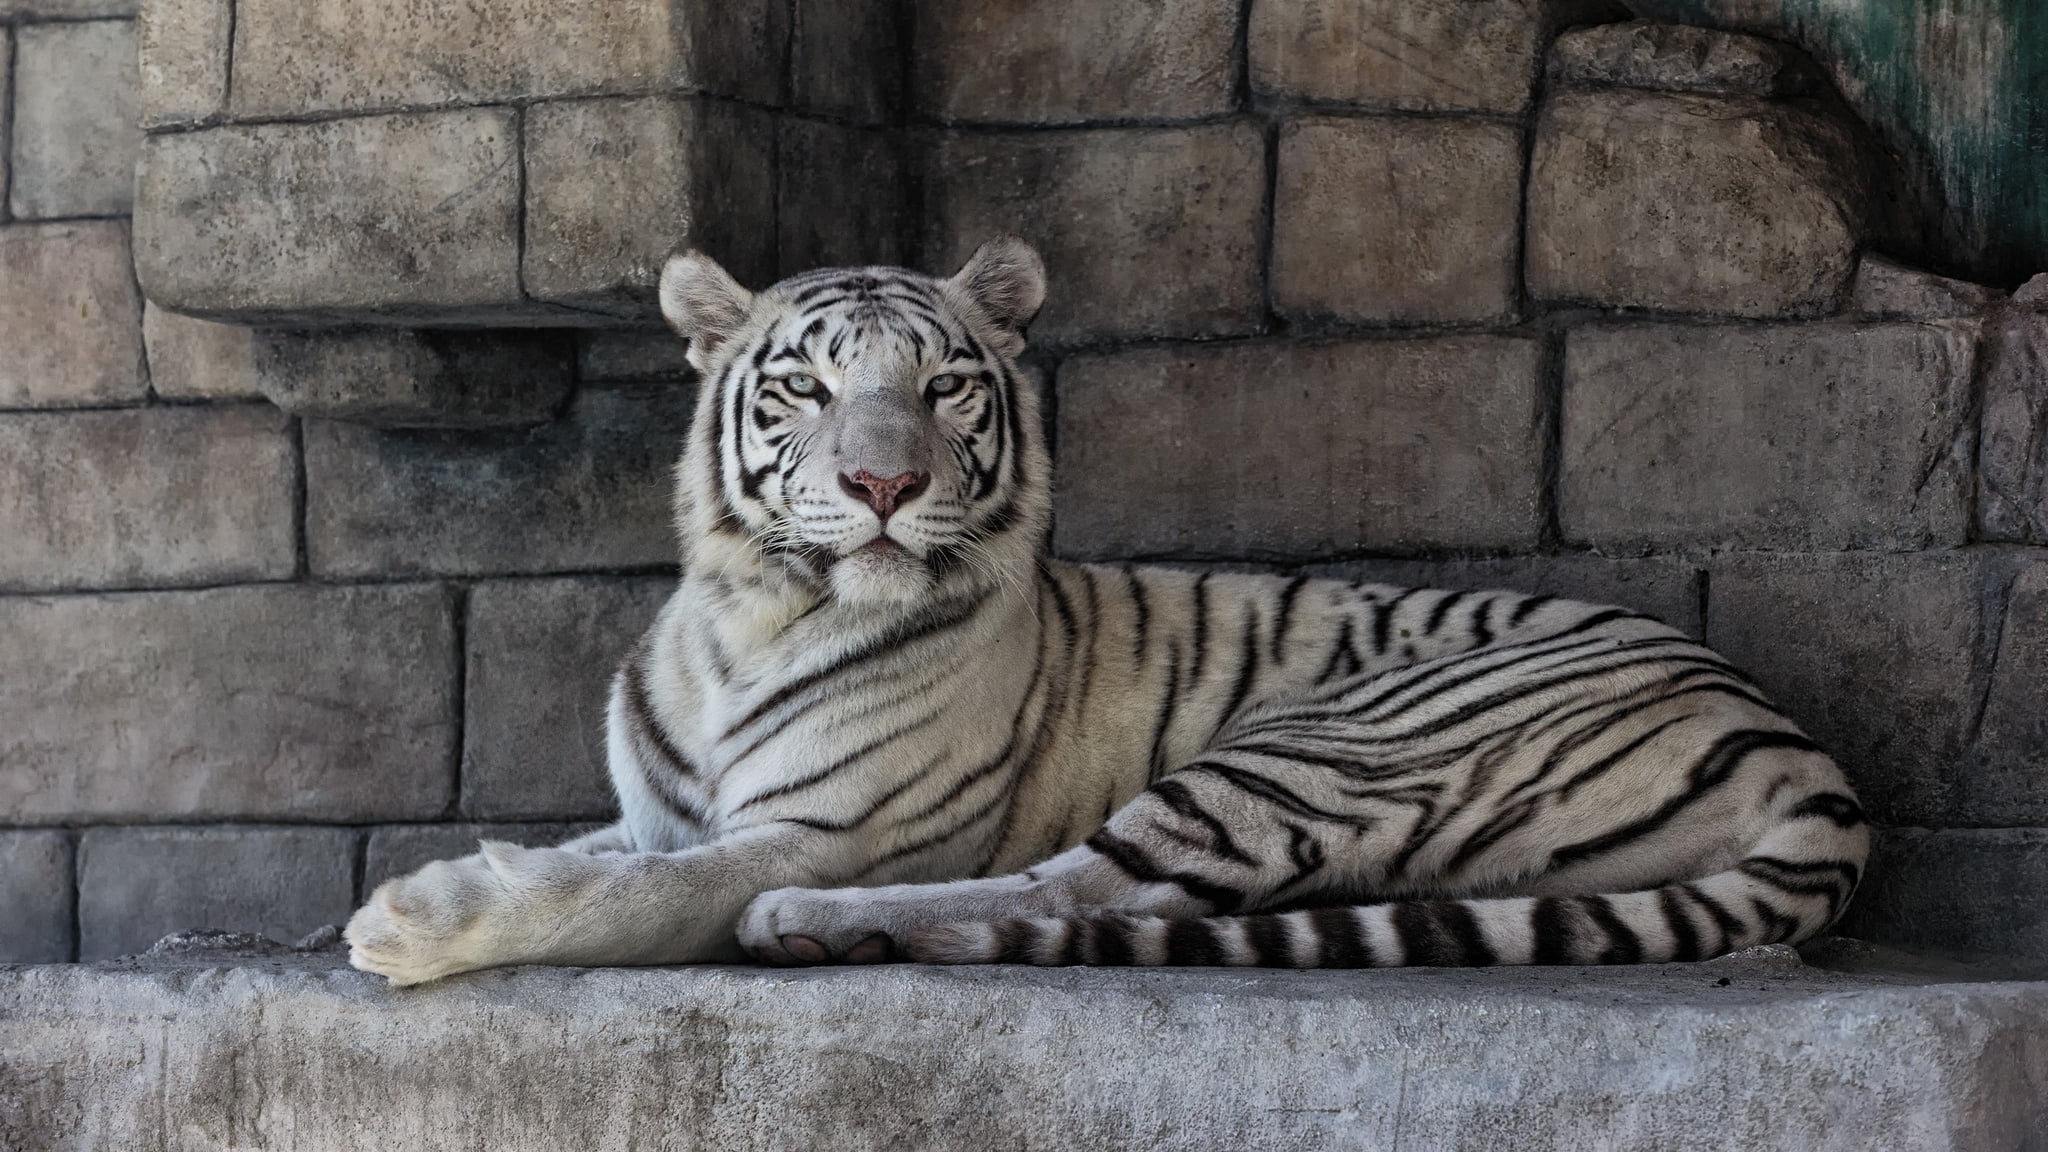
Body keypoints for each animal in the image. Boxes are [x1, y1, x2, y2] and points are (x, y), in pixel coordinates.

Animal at [344, 237, 1869, 985]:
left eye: (944, 385)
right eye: (805, 388)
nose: (885, 482)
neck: (752, 617)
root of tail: (1802, 749)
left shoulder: (830, 823)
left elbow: (631, 890)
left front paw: (412, 920)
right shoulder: (662, 808)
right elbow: (598, 853)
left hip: (1327, 739)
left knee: (1073, 888)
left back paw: (812, 924)